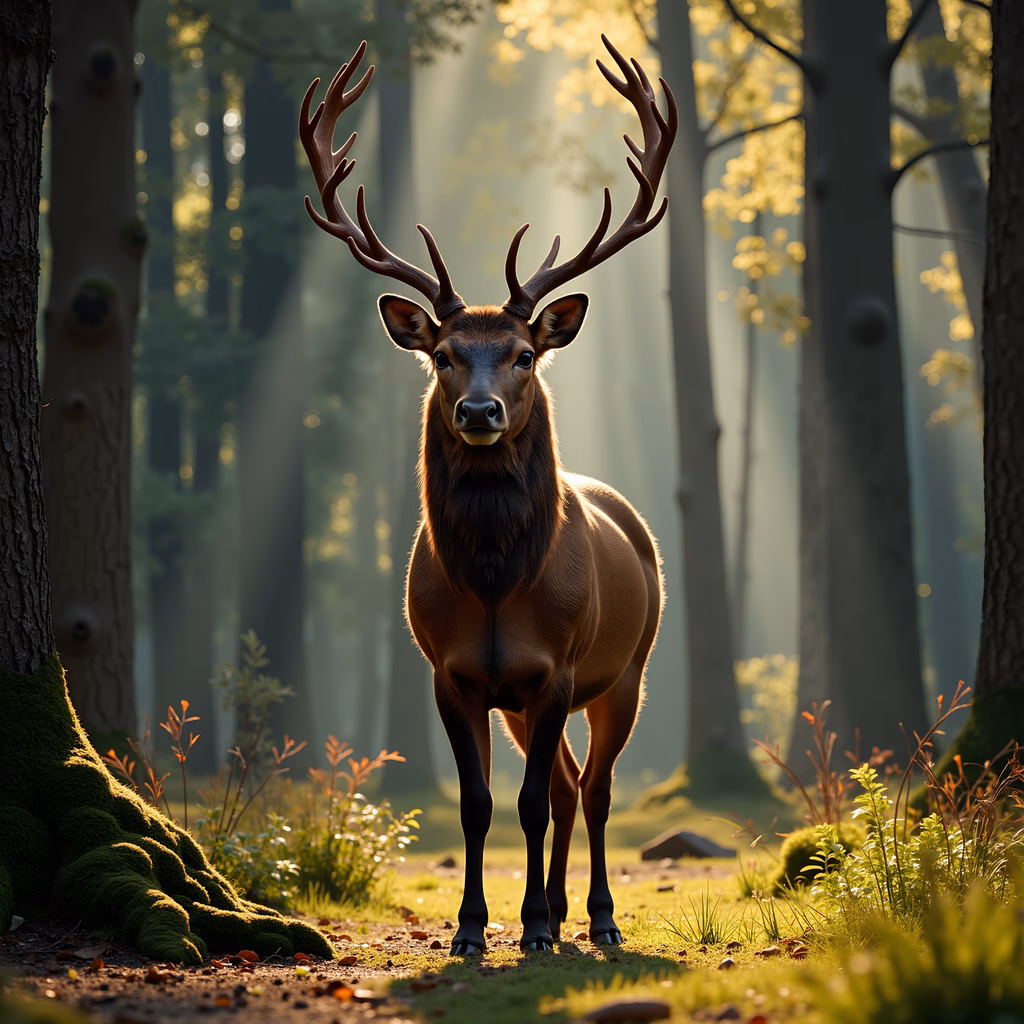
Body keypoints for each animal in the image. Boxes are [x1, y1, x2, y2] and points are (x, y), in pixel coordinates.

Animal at [300, 37, 676, 955]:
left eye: (522, 354)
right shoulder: (454, 671)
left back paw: (597, 917)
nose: (479, 412)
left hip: (630, 668)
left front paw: (532, 925)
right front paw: (473, 927)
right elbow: (480, 806)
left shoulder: (559, 667)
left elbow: (530, 803)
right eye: (442, 354)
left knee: (595, 788)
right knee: (573, 784)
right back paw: (564, 909)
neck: (501, 585)